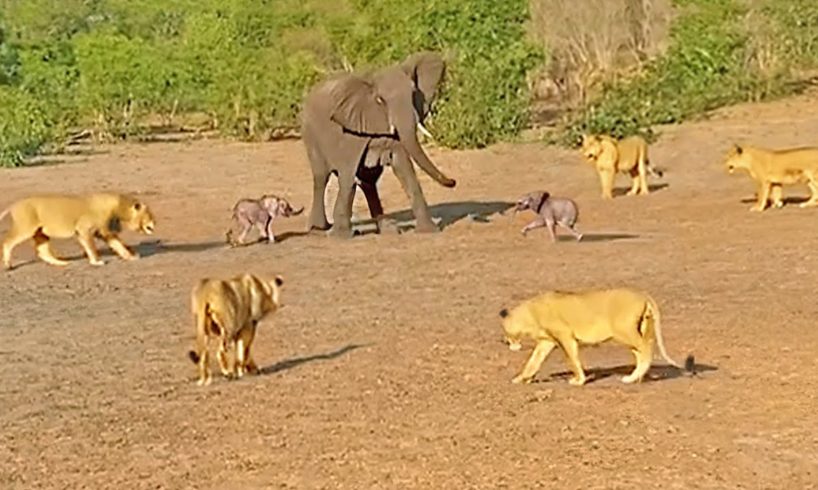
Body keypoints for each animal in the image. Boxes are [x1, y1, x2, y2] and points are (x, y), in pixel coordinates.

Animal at [0, 192, 155, 270]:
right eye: (149, 214)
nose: (154, 224)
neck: (117, 208)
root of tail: (13, 205)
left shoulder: (104, 232)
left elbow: (119, 245)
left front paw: (131, 256)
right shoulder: (84, 229)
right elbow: (91, 247)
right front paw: (97, 262)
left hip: (41, 232)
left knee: (43, 251)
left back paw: (62, 263)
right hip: (26, 227)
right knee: (7, 242)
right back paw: (8, 265)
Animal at [300, 51, 456, 237]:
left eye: (413, 93)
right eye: (380, 100)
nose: (453, 181)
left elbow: (404, 168)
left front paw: (428, 231)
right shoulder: (349, 129)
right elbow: (348, 174)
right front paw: (341, 236)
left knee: (368, 181)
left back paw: (388, 228)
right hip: (310, 134)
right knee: (321, 177)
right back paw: (318, 230)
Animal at [494, 288, 692, 386]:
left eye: (505, 332)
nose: (503, 342)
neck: (529, 313)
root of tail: (643, 295)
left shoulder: (565, 337)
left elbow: (572, 359)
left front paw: (579, 381)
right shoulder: (546, 342)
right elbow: (533, 362)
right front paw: (521, 379)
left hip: (623, 331)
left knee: (646, 347)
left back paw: (632, 378)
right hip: (636, 329)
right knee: (640, 351)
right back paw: (637, 377)